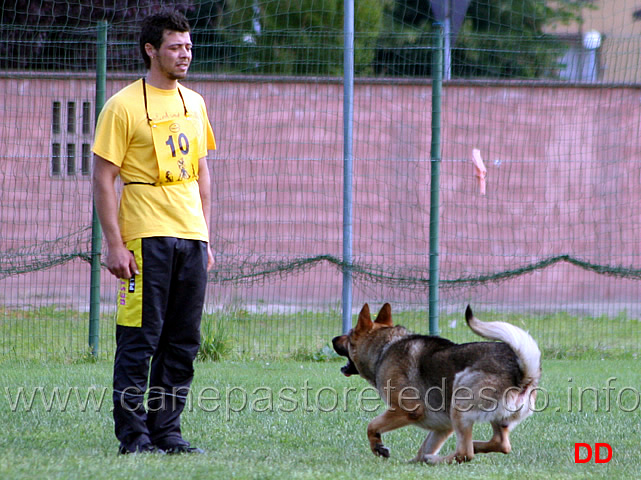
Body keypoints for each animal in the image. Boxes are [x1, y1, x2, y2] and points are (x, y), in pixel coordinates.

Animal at [330, 304, 540, 464]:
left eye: (349, 334)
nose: (332, 338)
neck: (384, 347)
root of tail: (523, 374)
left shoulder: (408, 409)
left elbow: (372, 426)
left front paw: (378, 447)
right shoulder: (443, 428)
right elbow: (424, 447)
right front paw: (413, 462)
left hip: (460, 401)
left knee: (465, 453)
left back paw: (436, 459)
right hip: (492, 420)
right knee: (500, 444)